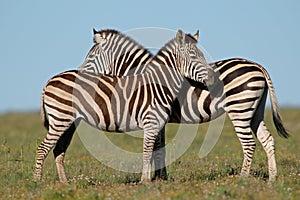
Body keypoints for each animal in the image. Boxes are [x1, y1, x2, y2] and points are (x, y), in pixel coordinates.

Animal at [34, 29, 212, 183]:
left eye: (202, 55)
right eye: (194, 56)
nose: (212, 78)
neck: (159, 85)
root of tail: (49, 81)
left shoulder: (158, 124)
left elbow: (154, 151)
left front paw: (153, 179)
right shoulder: (152, 123)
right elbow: (148, 152)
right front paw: (145, 181)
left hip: (68, 122)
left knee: (58, 149)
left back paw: (64, 183)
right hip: (61, 119)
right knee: (43, 148)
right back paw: (37, 182)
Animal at [79, 28, 288, 181]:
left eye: (89, 57)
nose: (79, 74)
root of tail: (257, 66)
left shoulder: (154, 115)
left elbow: (156, 148)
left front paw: (157, 178)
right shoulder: (158, 118)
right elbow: (159, 148)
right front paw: (161, 177)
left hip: (240, 108)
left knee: (249, 144)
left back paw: (242, 179)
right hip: (254, 110)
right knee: (267, 139)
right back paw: (272, 179)